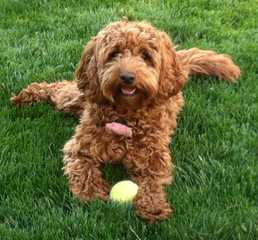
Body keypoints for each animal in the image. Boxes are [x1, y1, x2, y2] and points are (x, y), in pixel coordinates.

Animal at [11, 19, 241, 223]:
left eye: (146, 56)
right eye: (114, 54)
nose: (127, 77)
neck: (125, 115)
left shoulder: (154, 157)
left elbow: (152, 181)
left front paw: (153, 206)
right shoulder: (80, 148)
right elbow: (83, 169)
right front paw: (92, 193)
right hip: (77, 97)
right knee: (56, 88)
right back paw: (27, 95)